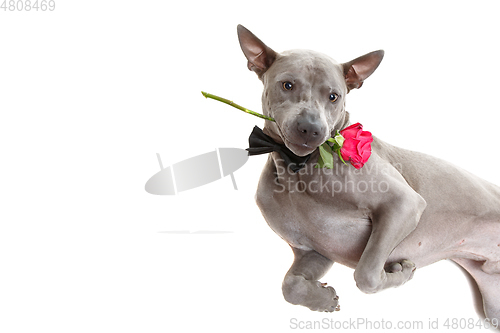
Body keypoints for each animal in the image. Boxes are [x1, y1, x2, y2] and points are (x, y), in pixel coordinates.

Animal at [235, 24, 500, 320]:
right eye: (287, 85)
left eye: (333, 96)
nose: (311, 128)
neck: (298, 168)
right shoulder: (313, 250)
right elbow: (289, 286)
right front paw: (323, 300)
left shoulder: (403, 204)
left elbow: (367, 275)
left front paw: (402, 273)